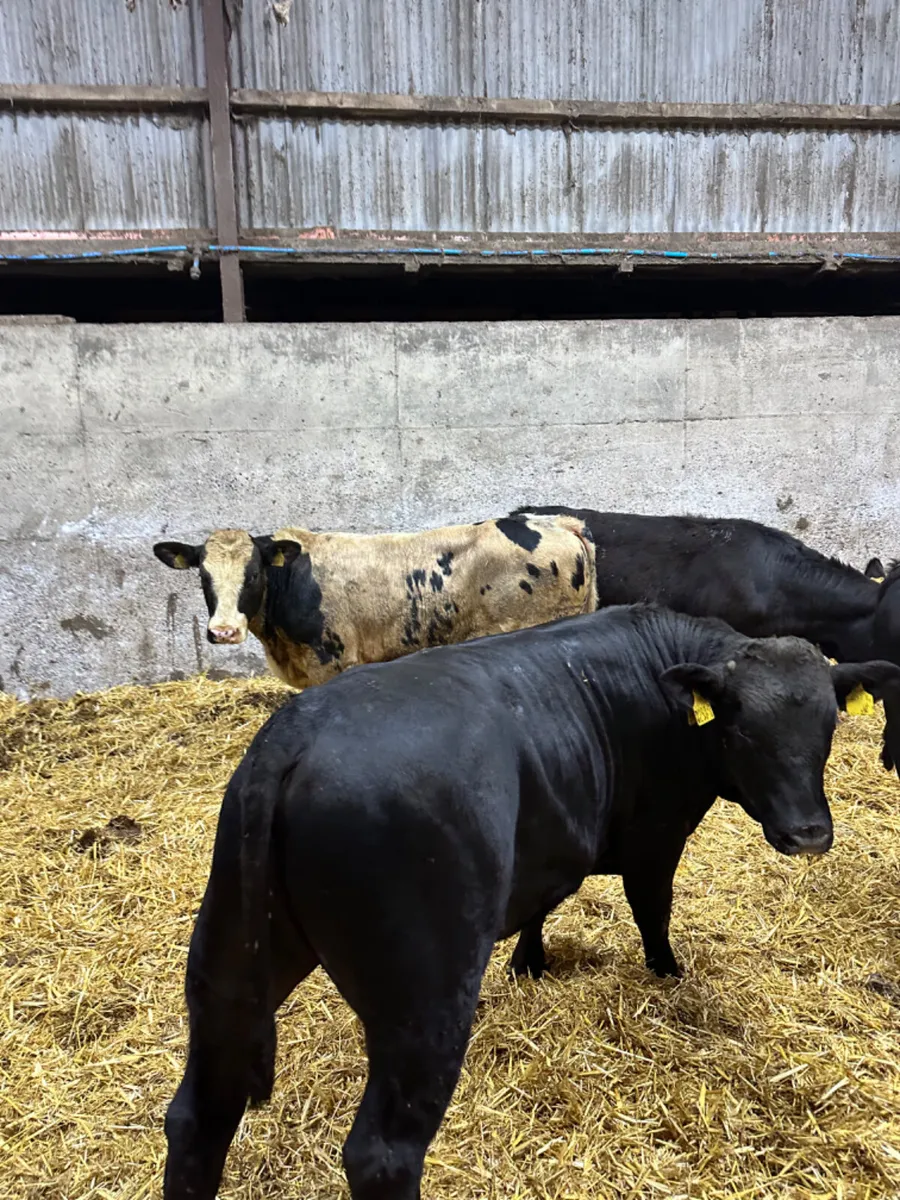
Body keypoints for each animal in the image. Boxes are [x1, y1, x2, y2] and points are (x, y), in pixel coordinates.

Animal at [162, 603, 900, 1200]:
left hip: (228, 964)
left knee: (199, 1115)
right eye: (744, 731)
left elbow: (544, 902)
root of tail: (297, 734)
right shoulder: (656, 836)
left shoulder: (551, 842)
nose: (810, 834)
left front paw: (530, 963)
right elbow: (651, 911)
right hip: (424, 999)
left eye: (829, 728)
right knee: (381, 1155)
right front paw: (667, 976)